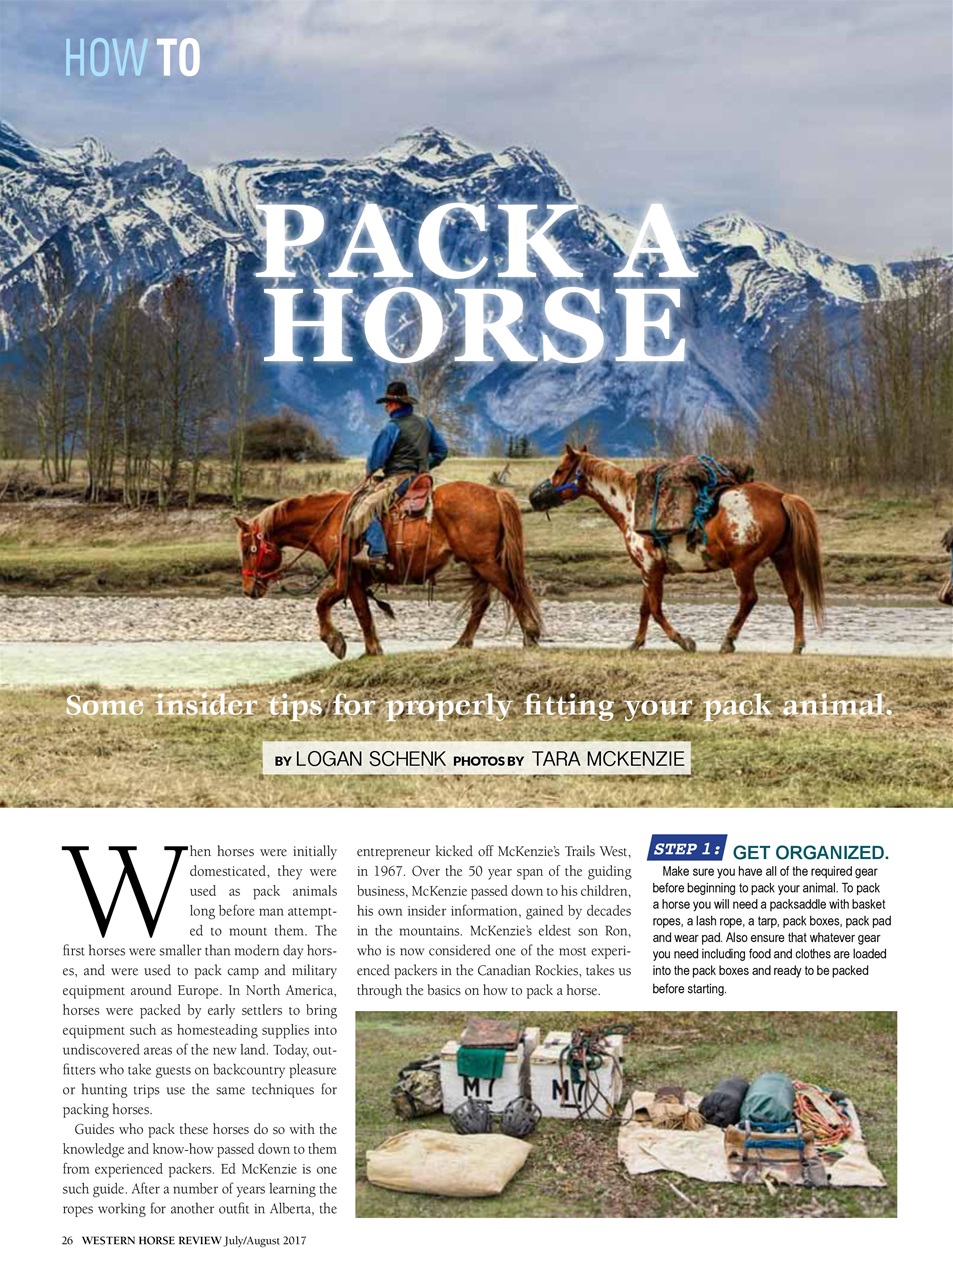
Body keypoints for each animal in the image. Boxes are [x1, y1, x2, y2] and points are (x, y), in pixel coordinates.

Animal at [235, 481, 542, 658]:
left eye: (249, 550)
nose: (249, 589)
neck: (330, 522)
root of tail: (495, 493)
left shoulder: (347, 578)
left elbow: (342, 608)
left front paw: (345, 644)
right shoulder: (354, 581)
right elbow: (357, 611)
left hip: (485, 564)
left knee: (513, 592)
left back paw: (530, 634)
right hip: (479, 566)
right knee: (482, 602)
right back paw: (462, 643)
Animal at [529, 445, 825, 654]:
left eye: (559, 469)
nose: (534, 497)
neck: (631, 504)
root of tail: (779, 496)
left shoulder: (651, 569)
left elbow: (656, 609)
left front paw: (684, 641)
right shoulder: (647, 571)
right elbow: (644, 608)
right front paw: (636, 643)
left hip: (743, 565)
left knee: (749, 598)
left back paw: (728, 641)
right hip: (782, 556)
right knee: (795, 596)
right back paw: (797, 644)